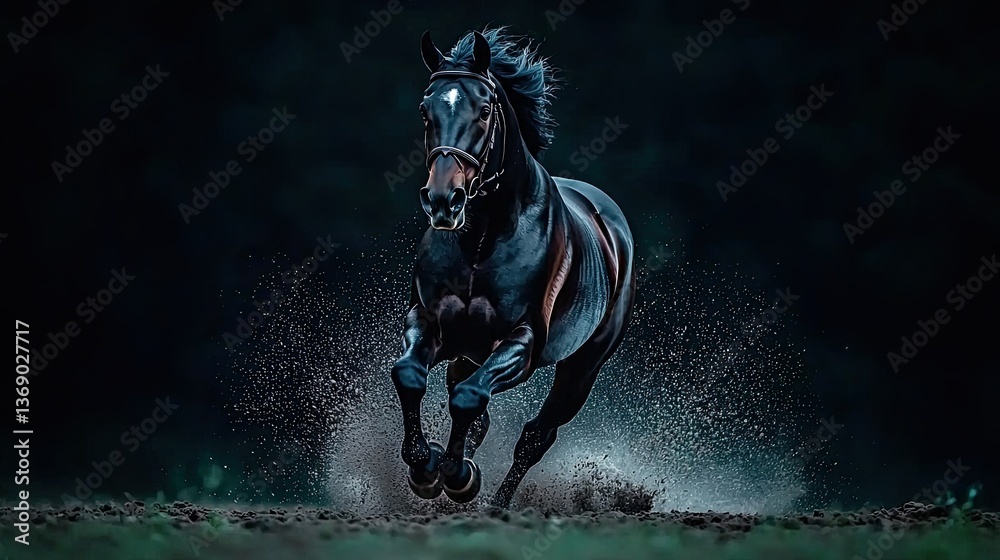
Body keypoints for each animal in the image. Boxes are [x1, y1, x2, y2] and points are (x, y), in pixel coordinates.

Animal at [391, 27, 636, 508]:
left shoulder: (521, 343)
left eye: (484, 110)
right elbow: (410, 375)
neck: (481, 241)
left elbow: (469, 399)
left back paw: (497, 503)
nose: (443, 201)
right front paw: (424, 467)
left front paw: (457, 477)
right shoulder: (430, 321)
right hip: (469, 351)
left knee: (534, 437)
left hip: (582, 369)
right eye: (425, 110)